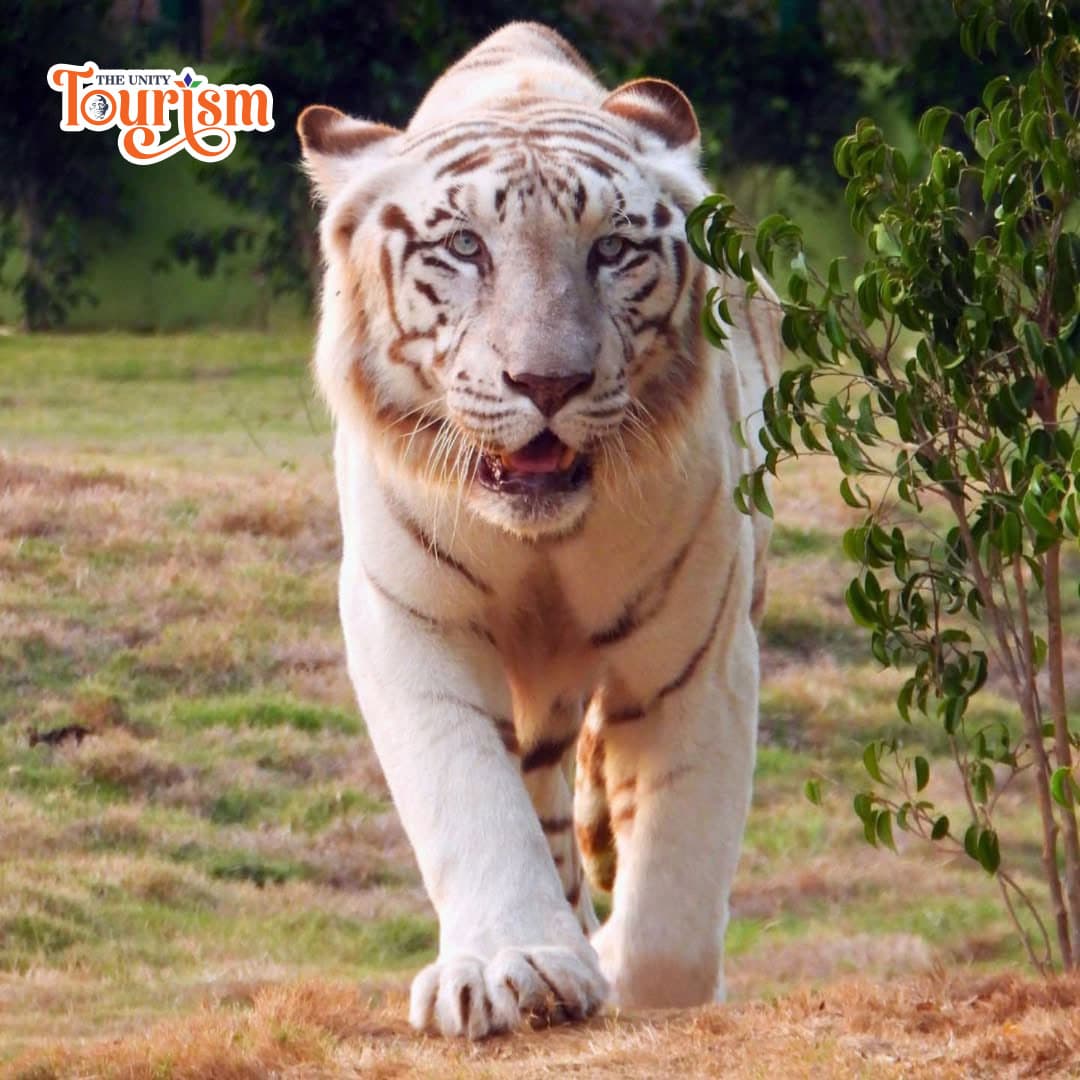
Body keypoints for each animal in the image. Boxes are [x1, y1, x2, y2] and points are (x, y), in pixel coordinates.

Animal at [297, 21, 780, 1038]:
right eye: (464, 247)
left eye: (611, 251)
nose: (547, 382)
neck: (541, 545)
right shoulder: (412, 622)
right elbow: (472, 803)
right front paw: (507, 964)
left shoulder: (698, 656)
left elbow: (677, 899)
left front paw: (630, 976)